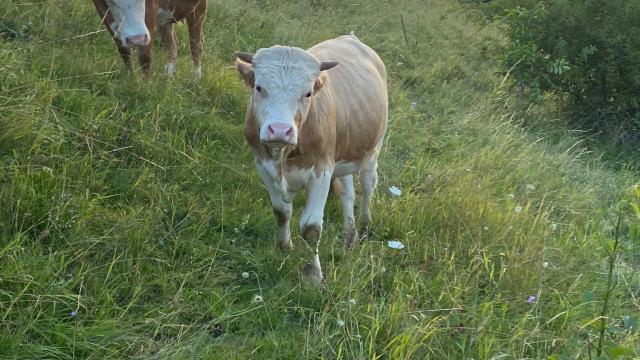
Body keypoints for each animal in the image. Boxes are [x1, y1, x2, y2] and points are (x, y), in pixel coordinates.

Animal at [234, 35, 384, 286]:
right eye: (259, 87)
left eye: (308, 94)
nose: (280, 130)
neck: (283, 156)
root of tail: (351, 37)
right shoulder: (262, 164)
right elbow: (281, 212)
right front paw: (284, 247)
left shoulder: (321, 171)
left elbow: (311, 227)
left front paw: (313, 275)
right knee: (347, 192)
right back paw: (349, 233)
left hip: (372, 149)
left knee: (368, 185)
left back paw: (365, 223)